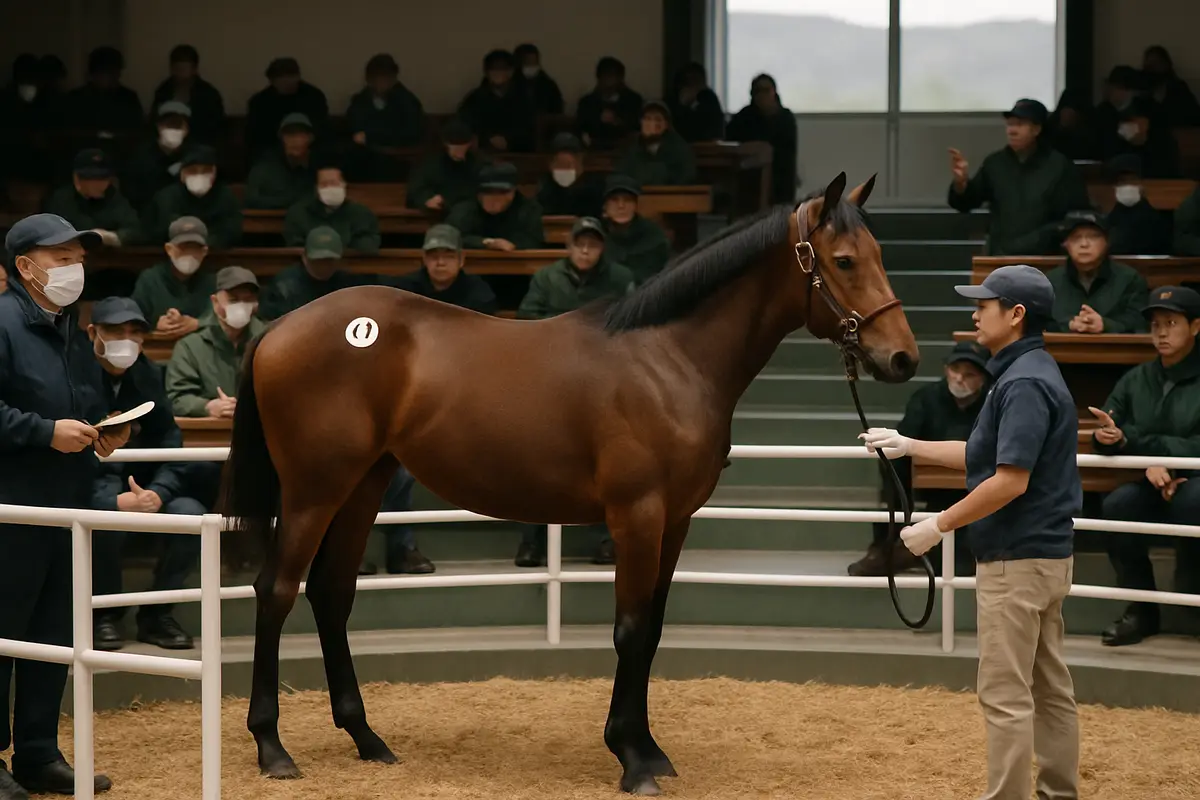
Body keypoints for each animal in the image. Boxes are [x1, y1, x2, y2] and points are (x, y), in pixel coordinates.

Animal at [218, 171, 920, 795]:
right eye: (844, 260)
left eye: (881, 255)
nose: (903, 358)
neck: (668, 358)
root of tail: (276, 330)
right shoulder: (637, 515)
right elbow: (630, 629)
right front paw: (631, 761)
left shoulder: (676, 521)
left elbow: (653, 629)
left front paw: (649, 750)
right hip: (313, 489)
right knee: (275, 591)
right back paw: (272, 748)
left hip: (364, 484)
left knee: (330, 593)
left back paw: (367, 740)